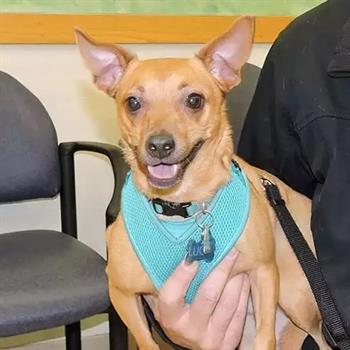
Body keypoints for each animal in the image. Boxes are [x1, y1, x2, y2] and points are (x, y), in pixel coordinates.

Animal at [76, 17, 328, 348]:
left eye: (194, 100)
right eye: (132, 102)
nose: (159, 145)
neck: (180, 206)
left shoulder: (263, 272)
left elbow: (265, 337)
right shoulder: (121, 293)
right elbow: (147, 341)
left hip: (298, 300)